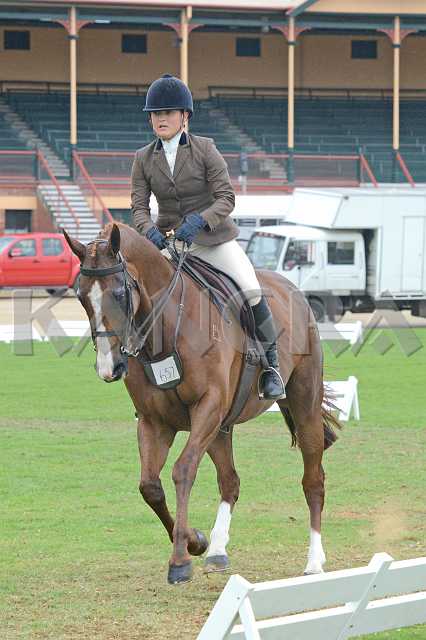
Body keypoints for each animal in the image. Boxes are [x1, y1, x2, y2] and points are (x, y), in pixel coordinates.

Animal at [63, 221, 340, 585]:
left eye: (120, 294)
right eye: (82, 297)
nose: (109, 368)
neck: (165, 330)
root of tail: (291, 288)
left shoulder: (206, 407)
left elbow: (183, 471)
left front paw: (180, 560)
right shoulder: (155, 422)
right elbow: (150, 486)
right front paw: (195, 541)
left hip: (302, 404)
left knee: (313, 480)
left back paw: (314, 561)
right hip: (221, 427)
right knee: (230, 481)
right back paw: (218, 550)